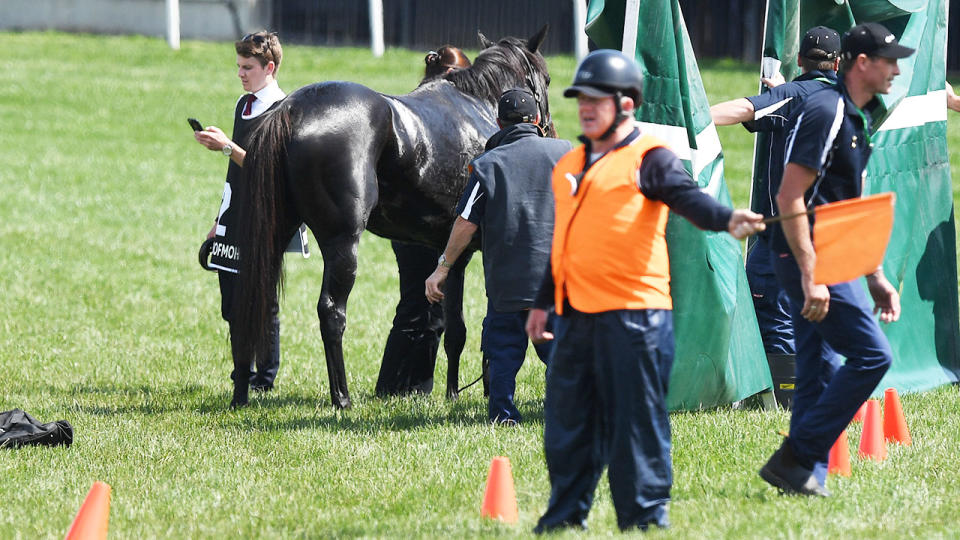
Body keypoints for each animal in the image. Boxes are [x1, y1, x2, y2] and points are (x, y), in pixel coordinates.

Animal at [230, 25, 556, 404]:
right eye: (547, 78)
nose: (549, 128)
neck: (479, 105)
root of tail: (292, 109)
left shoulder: (448, 252)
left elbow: (454, 330)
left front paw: (453, 393)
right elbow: (476, 326)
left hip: (274, 233)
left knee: (251, 300)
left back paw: (241, 394)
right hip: (342, 242)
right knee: (331, 311)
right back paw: (341, 397)